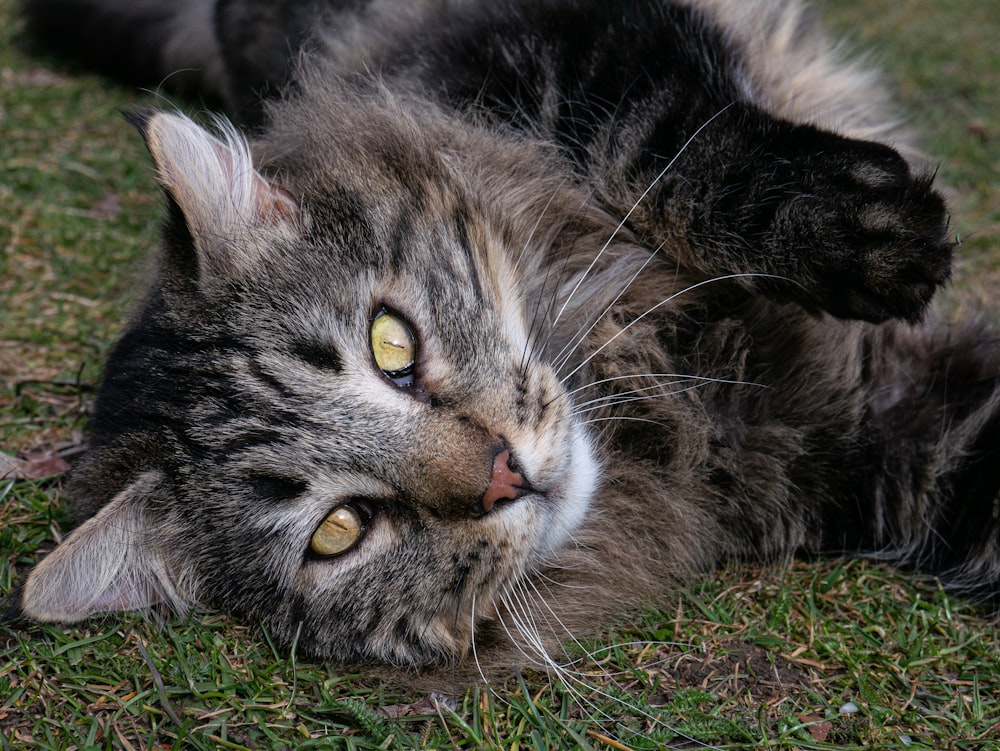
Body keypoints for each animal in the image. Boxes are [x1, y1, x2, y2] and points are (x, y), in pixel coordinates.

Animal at [9, 0, 1000, 680]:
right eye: (340, 529)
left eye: (392, 345)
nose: (504, 475)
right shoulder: (884, 432)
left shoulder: (533, 40)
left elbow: (668, 141)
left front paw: (876, 236)